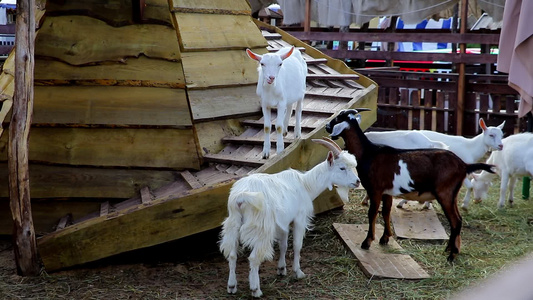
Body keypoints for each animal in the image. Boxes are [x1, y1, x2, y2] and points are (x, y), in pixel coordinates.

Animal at [218, 138, 360, 298]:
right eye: (342, 168)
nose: (357, 181)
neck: (306, 185)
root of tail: (241, 197)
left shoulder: (283, 222)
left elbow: (283, 245)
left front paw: (281, 269)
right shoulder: (299, 218)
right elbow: (297, 245)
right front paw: (298, 272)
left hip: (233, 223)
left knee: (231, 254)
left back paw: (231, 286)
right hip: (261, 227)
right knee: (254, 257)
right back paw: (256, 289)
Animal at [324, 109, 494, 262]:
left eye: (338, 118)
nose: (326, 126)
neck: (368, 152)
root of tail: (463, 165)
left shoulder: (375, 190)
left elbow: (372, 213)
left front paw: (367, 242)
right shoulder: (387, 192)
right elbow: (385, 212)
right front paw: (385, 238)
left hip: (445, 193)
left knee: (456, 221)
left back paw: (452, 255)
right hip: (452, 195)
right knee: (457, 219)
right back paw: (449, 249)